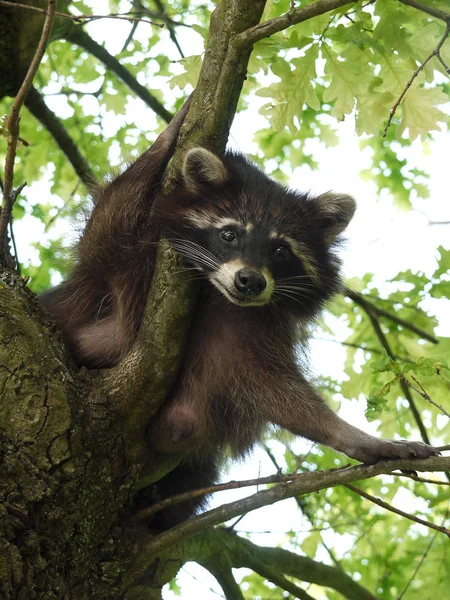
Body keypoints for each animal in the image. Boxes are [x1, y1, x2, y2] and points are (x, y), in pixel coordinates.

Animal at [41, 104, 436, 528]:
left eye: (280, 250)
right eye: (229, 234)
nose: (250, 281)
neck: (212, 293)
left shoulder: (241, 331)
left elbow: (274, 390)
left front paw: (353, 436)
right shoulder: (123, 274)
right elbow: (108, 228)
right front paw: (169, 133)